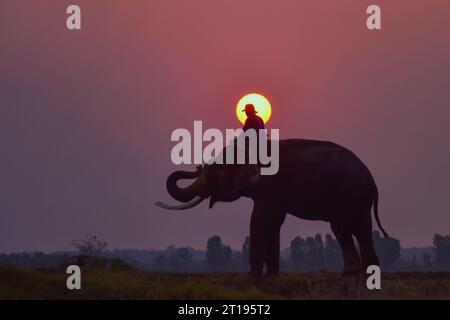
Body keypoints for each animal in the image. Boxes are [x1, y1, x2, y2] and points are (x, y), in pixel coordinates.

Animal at [156, 139, 388, 276]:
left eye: (214, 174)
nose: (196, 167)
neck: (251, 150)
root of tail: (370, 177)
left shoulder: (270, 188)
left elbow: (260, 221)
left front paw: (254, 278)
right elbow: (273, 224)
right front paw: (272, 276)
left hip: (355, 197)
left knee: (360, 229)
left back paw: (368, 275)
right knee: (341, 229)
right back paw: (350, 273)